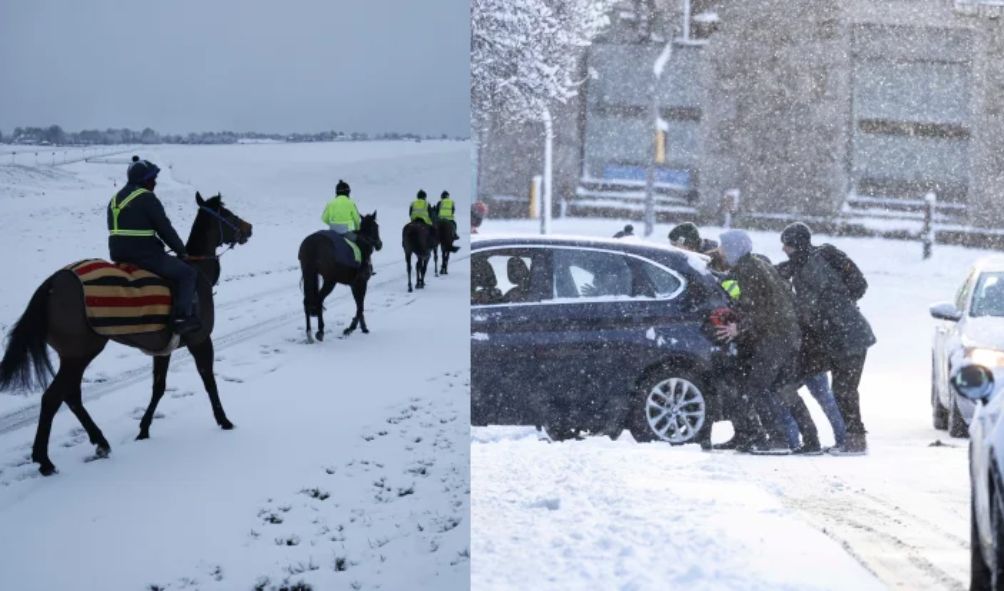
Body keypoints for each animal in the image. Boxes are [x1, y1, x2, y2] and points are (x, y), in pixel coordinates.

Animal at [0, 192, 250, 475]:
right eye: (227, 213)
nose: (248, 228)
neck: (197, 274)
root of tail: (54, 281)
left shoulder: (162, 349)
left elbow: (158, 387)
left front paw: (144, 429)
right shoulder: (200, 340)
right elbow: (209, 381)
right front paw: (224, 420)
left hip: (73, 356)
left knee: (71, 396)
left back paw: (100, 441)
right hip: (80, 354)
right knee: (52, 398)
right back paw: (44, 459)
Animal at [299, 210, 381, 341]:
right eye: (376, 227)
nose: (379, 244)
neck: (362, 244)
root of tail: (313, 244)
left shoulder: (354, 285)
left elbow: (359, 304)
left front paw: (363, 327)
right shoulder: (361, 282)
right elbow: (360, 306)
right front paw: (351, 328)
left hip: (309, 273)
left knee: (308, 301)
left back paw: (309, 333)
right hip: (330, 280)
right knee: (319, 299)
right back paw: (320, 331)